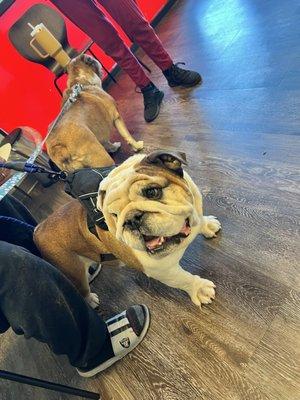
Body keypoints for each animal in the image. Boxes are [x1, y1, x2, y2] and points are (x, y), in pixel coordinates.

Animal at [34, 151, 221, 310]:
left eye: (152, 192)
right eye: (114, 215)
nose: (132, 219)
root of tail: (37, 230)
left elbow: (200, 220)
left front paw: (207, 225)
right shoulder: (163, 271)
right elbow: (183, 279)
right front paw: (199, 289)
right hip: (72, 269)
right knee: (81, 286)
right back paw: (90, 299)